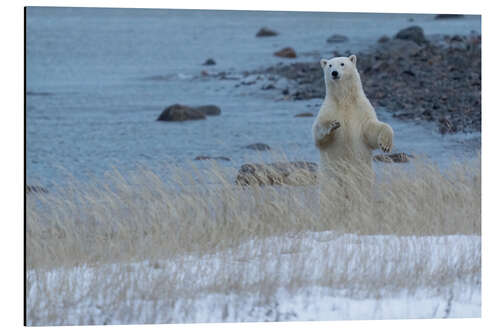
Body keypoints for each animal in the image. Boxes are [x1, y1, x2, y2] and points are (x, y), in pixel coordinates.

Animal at [312, 54, 394, 189]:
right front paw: (332, 124)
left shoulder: (361, 108)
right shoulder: (329, 108)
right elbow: (319, 136)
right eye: (329, 65)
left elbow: (371, 129)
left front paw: (386, 145)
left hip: (363, 174)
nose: (334, 73)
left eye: (342, 64)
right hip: (329, 177)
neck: (344, 99)